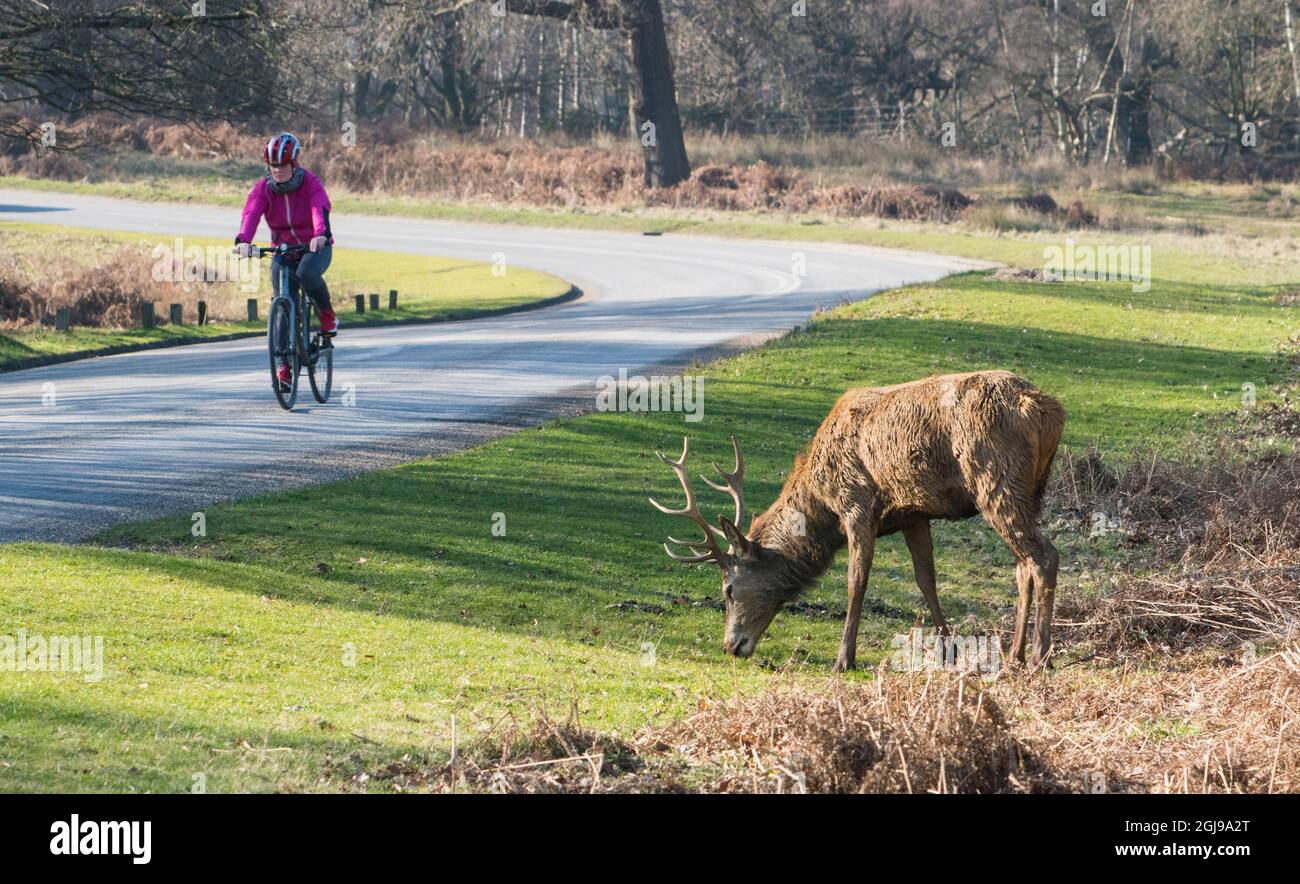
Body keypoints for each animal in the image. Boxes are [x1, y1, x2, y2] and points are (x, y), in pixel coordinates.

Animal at [649, 370, 1066, 671]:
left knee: (1044, 556)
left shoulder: (857, 505)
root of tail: (1047, 411)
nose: (731, 646)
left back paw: (1041, 656)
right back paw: (1014, 655)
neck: (822, 503)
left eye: (729, 589)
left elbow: (857, 581)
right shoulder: (913, 514)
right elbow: (926, 579)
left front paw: (843, 658)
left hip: (996, 480)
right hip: (1033, 488)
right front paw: (950, 651)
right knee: (1022, 565)